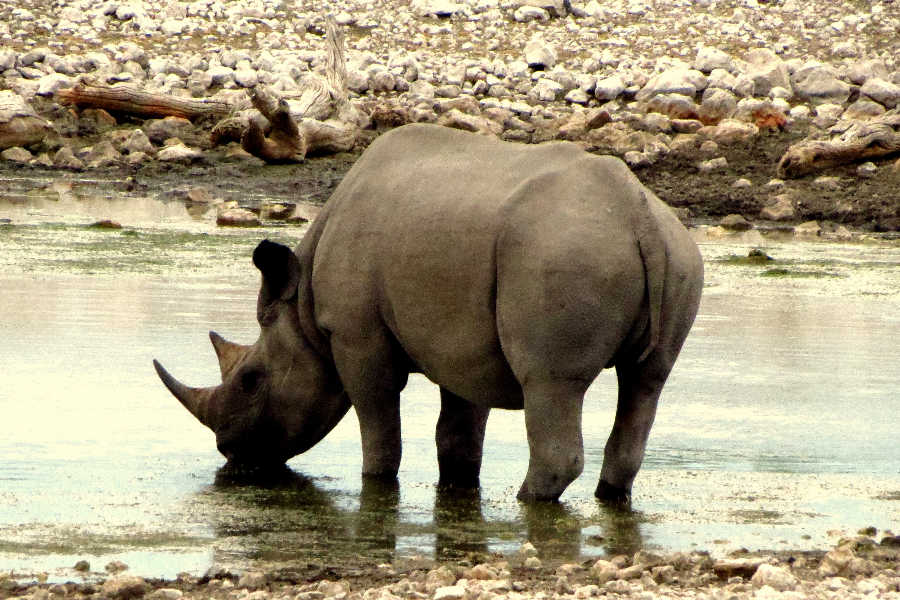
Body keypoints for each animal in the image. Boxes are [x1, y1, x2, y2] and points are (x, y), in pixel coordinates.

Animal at [153, 124, 704, 504]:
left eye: (250, 380)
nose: (230, 452)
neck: (302, 311)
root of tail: (638, 214)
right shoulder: (463, 346)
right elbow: (456, 437)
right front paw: (457, 488)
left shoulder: (356, 336)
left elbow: (380, 431)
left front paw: (377, 486)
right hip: (677, 258)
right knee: (646, 382)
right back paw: (607, 499)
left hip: (565, 255)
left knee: (551, 383)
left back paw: (526, 501)